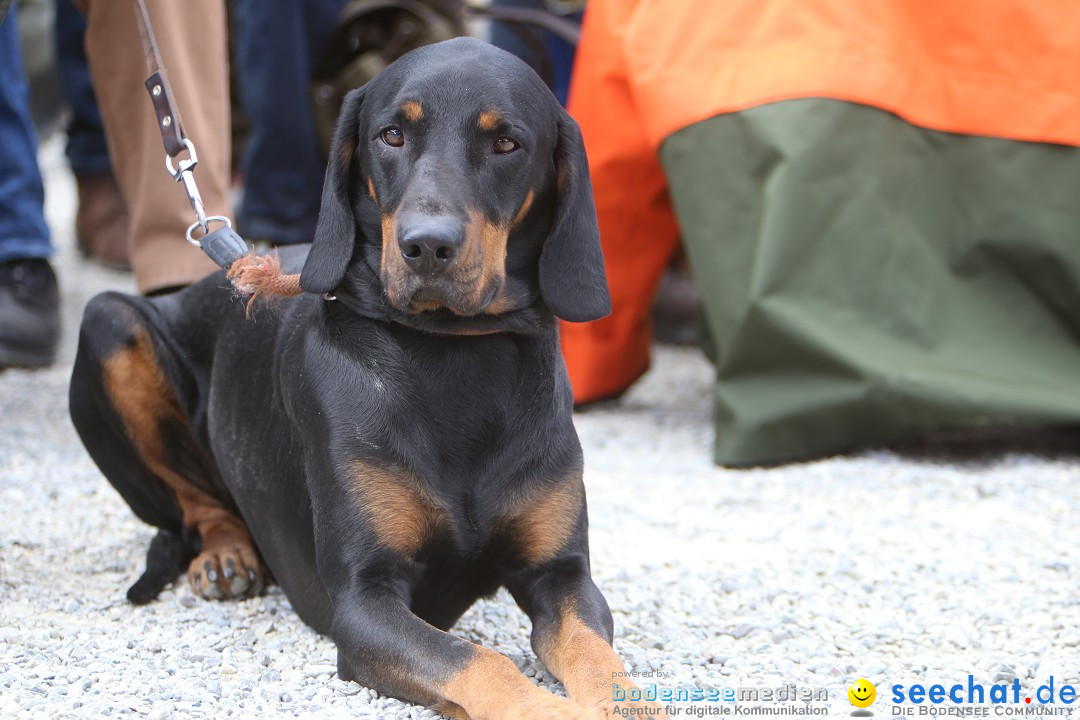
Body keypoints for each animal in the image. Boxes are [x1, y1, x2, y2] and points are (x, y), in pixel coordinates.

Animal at [69, 39, 665, 720]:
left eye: (506, 143)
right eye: (391, 135)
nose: (427, 246)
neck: (453, 354)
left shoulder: (562, 576)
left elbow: (601, 661)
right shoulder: (364, 598)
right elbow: (480, 663)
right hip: (111, 323)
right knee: (192, 504)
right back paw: (225, 554)